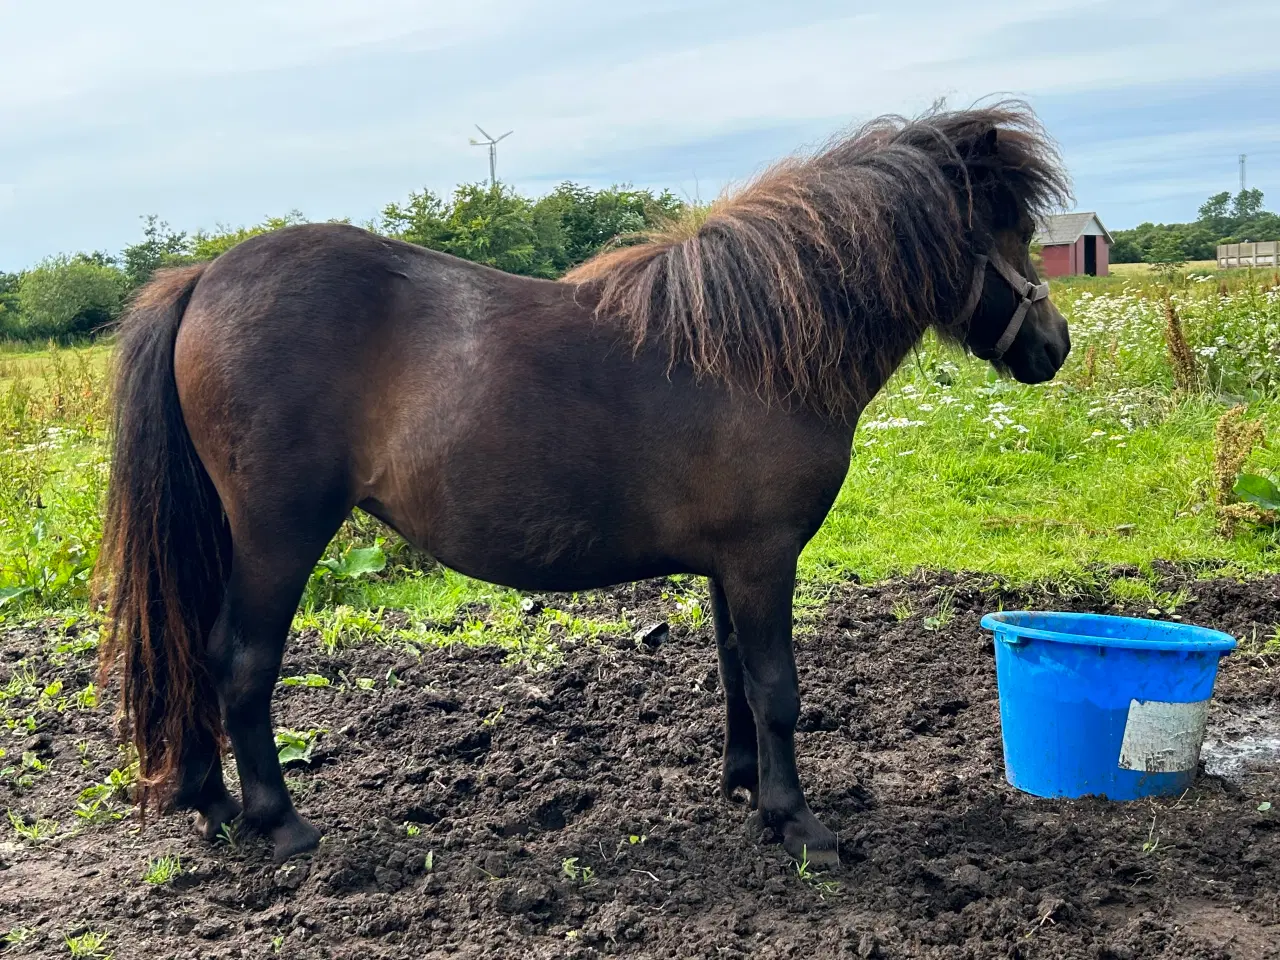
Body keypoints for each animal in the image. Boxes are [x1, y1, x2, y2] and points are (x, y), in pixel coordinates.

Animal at [97, 101, 1070, 870]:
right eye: (1012, 233)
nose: (1052, 347)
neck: (756, 350)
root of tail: (205, 277)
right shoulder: (764, 559)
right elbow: (776, 687)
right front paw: (798, 824)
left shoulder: (730, 566)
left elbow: (733, 673)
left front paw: (746, 790)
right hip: (281, 534)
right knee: (239, 660)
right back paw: (278, 822)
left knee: (197, 654)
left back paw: (213, 803)